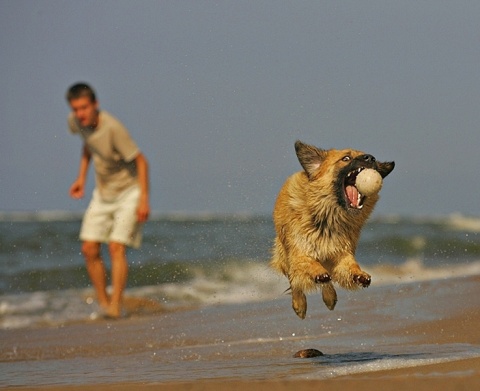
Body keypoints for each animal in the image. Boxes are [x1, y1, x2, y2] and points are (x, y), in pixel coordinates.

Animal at [270, 141, 394, 318]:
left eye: (374, 160)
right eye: (346, 158)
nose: (370, 158)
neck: (330, 217)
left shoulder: (341, 253)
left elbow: (349, 266)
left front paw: (359, 274)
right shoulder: (299, 251)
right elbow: (308, 264)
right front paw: (317, 272)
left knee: (326, 282)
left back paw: (330, 297)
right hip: (285, 252)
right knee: (295, 281)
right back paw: (299, 304)